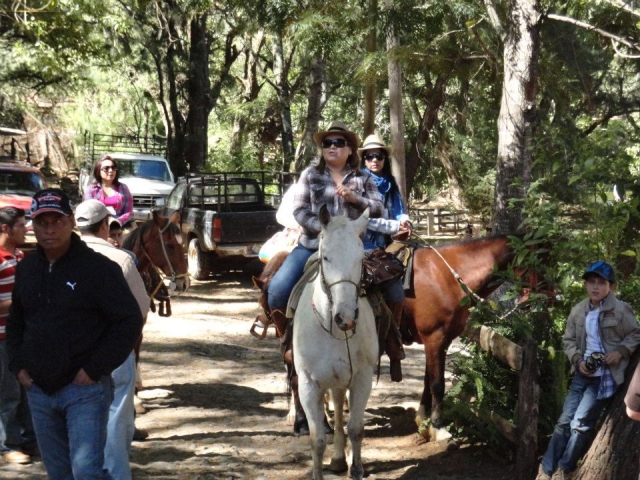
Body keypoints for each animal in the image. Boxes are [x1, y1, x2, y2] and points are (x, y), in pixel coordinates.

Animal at [293, 205, 377, 480]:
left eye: (361, 258)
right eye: (326, 257)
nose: (346, 317)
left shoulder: (362, 377)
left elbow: (356, 428)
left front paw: (357, 469)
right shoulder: (308, 384)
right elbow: (317, 439)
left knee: (340, 408)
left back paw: (341, 457)